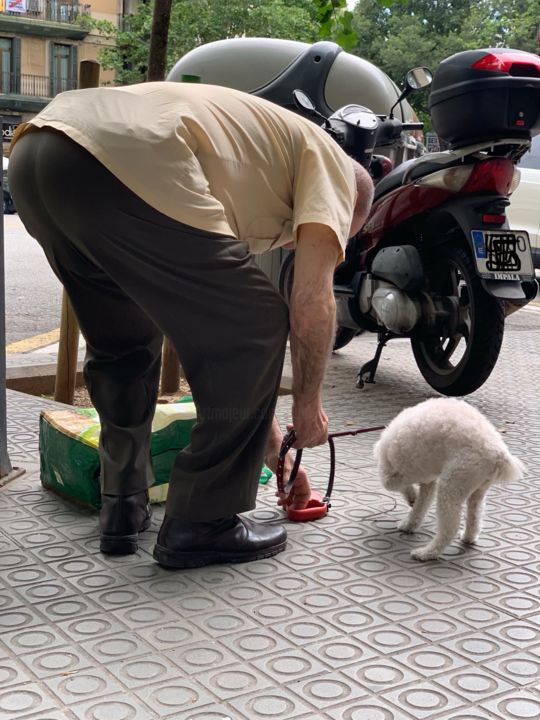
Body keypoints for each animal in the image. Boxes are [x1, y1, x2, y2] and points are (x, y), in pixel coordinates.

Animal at [374, 400, 524, 564]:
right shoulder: (428, 480)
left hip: (452, 484)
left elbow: (392, 485)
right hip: (477, 487)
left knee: (449, 528)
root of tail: (498, 453)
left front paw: (411, 497)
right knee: (475, 516)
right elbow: (421, 505)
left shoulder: (397, 471)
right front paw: (409, 524)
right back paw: (468, 537)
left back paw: (427, 553)